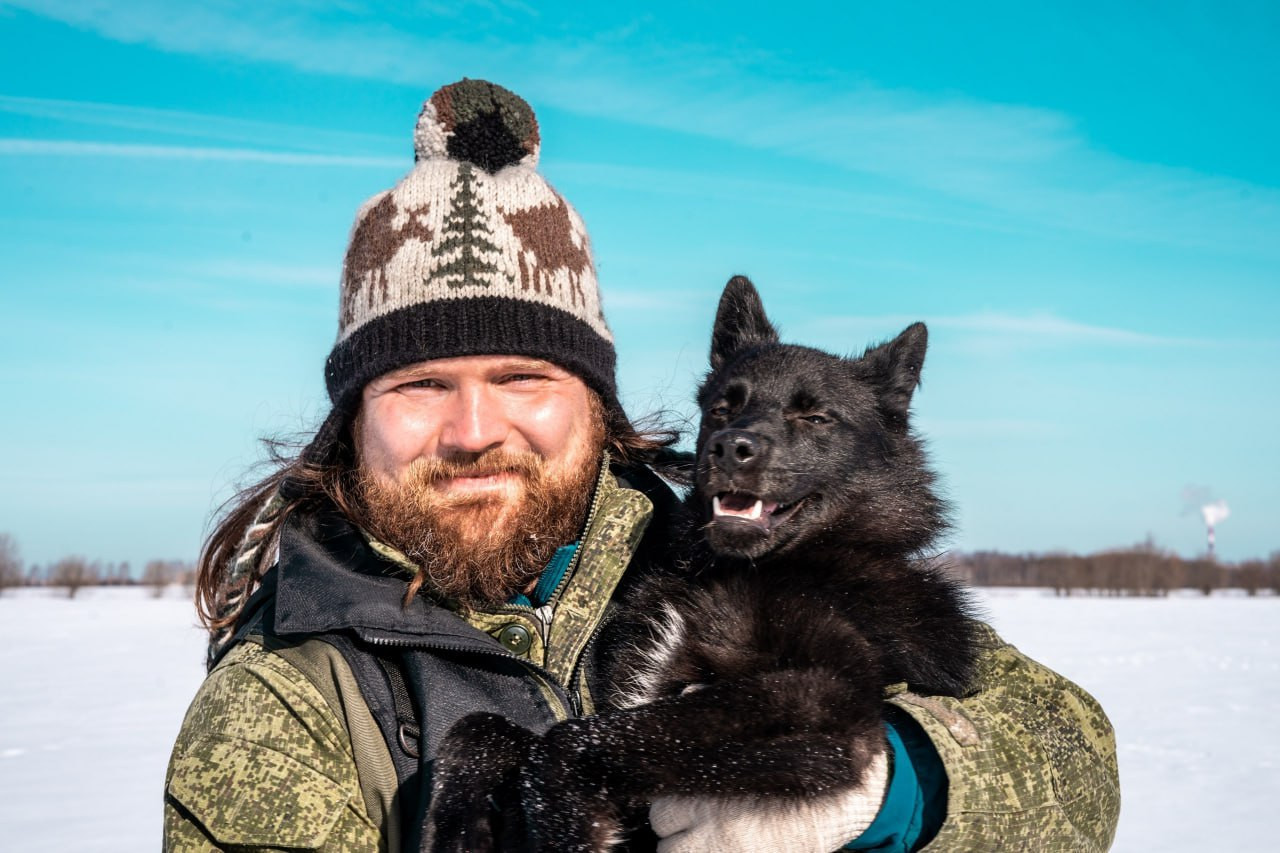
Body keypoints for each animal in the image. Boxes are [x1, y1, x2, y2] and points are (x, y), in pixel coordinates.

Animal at [424, 275, 972, 845]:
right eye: (722, 408)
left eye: (816, 417)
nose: (731, 447)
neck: (731, 570)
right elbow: (479, 727)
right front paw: (458, 825)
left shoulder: (824, 699)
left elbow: (574, 742)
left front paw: (562, 825)